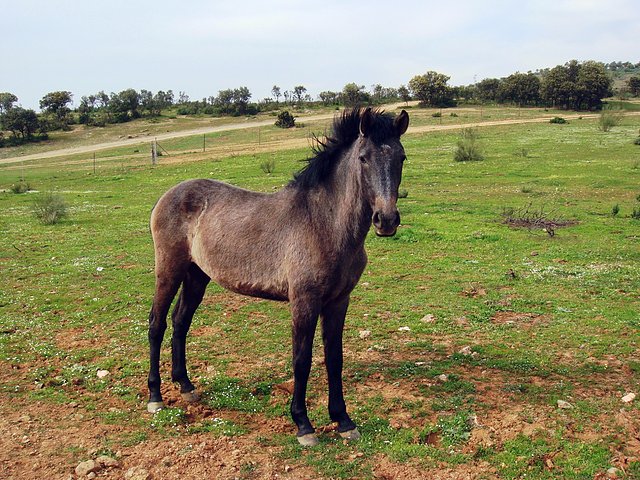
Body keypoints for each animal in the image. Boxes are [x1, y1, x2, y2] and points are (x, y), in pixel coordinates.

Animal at [149, 107, 410, 444]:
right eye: (364, 158)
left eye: (402, 157)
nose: (386, 220)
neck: (323, 224)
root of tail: (169, 194)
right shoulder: (303, 301)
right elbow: (302, 359)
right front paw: (303, 425)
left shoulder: (339, 301)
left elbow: (334, 358)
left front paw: (343, 420)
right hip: (169, 270)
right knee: (157, 323)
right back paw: (155, 396)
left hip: (197, 275)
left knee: (181, 322)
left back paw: (186, 386)